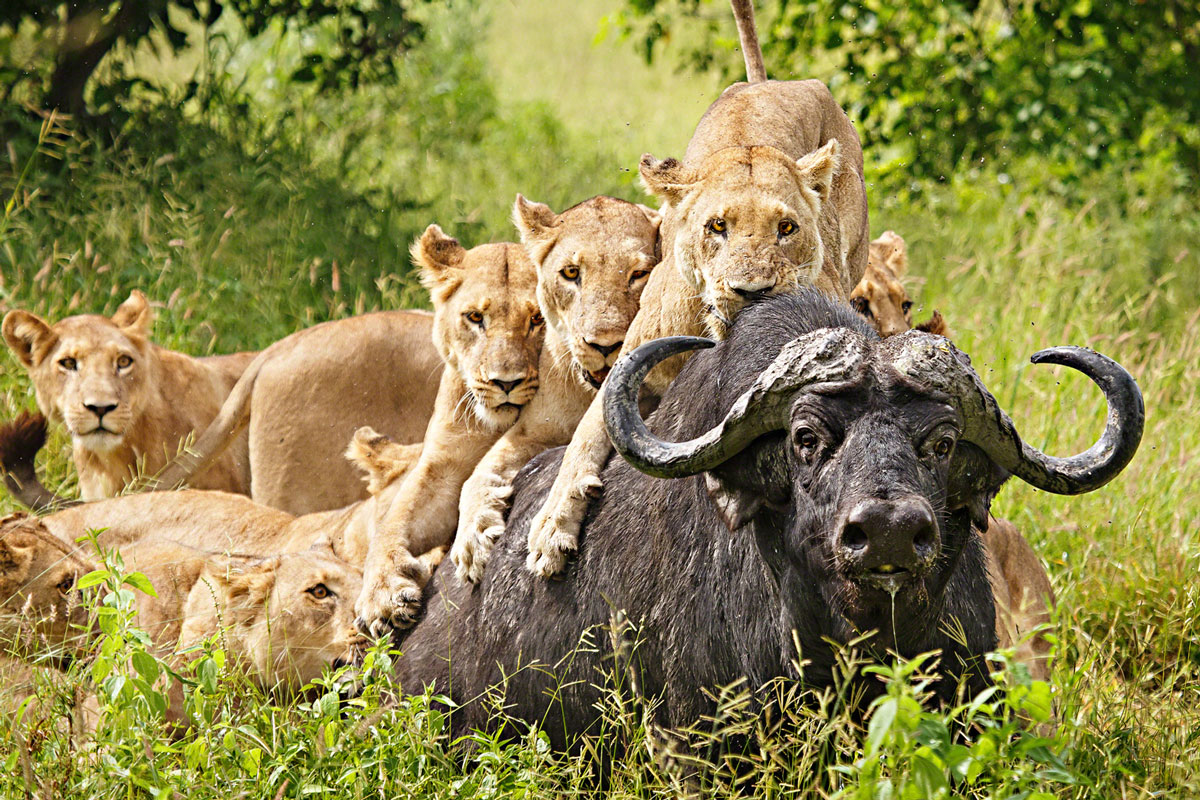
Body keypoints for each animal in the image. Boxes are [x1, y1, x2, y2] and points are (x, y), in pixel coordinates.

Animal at [520, 3, 868, 585]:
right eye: (717, 226)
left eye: (787, 229)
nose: (752, 291)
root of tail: (769, 83)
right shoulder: (624, 368)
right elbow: (586, 437)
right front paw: (549, 531)